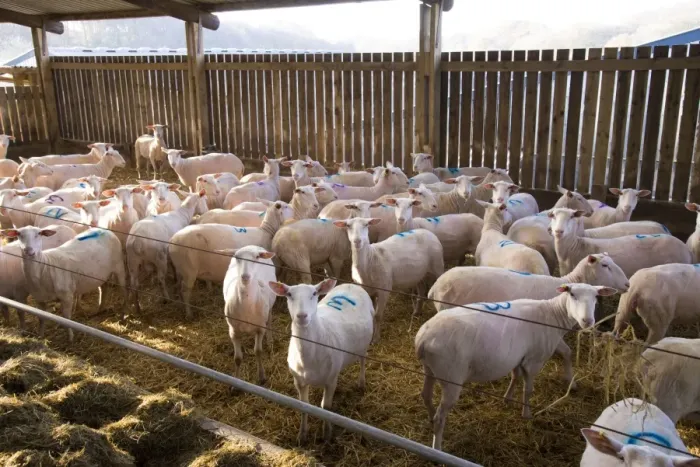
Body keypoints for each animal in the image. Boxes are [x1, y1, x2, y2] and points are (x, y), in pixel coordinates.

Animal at [220, 245, 277, 384]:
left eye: (256, 257)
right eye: (236, 257)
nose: (245, 277)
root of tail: (252, 245)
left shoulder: (260, 329)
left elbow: (258, 352)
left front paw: (261, 377)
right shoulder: (233, 330)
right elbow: (237, 358)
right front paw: (235, 382)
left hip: (269, 307)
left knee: (270, 319)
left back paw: (270, 340)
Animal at [268, 278, 374, 443]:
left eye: (314, 293)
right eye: (289, 294)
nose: (302, 316)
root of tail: (351, 284)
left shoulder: (330, 381)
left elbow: (326, 407)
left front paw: (327, 434)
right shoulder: (298, 381)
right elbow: (303, 406)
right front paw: (302, 435)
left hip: (364, 344)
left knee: (363, 361)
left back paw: (361, 383)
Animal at [416, 283, 616, 450]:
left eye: (596, 297)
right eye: (572, 294)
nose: (587, 321)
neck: (552, 314)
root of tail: (423, 338)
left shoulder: (519, 357)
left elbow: (516, 375)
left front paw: (508, 398)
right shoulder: (534, 360)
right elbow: (528, 390)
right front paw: (526, 414)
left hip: (430, 369)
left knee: (426, 395)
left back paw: (429, 418)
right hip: (451, 376)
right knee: (440, 417)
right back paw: (437, 447)